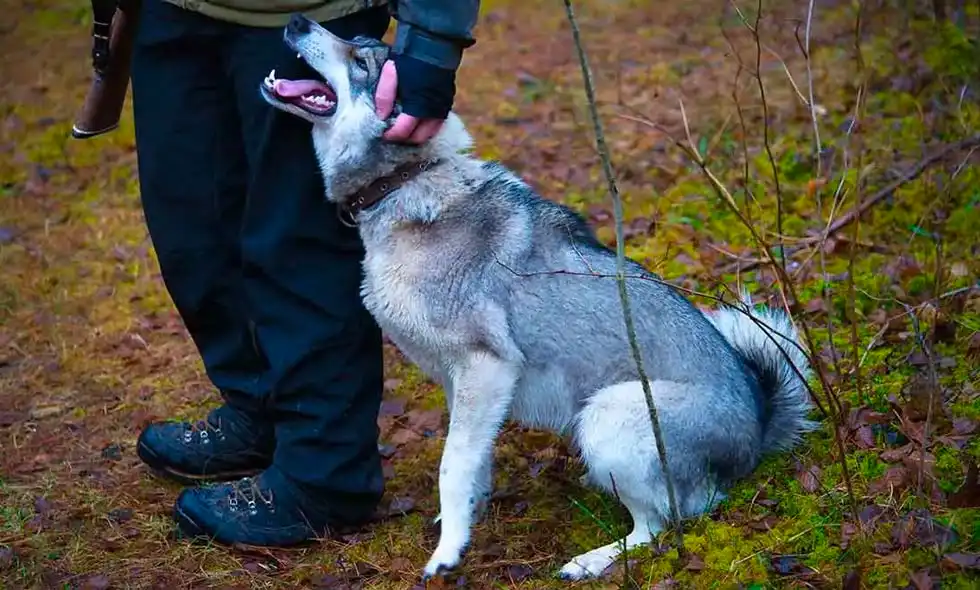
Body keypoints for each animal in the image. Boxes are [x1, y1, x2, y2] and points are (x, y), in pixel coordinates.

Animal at [256, 12, 816, 584]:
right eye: (356, 44)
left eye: (360, 61)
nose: (297, 20)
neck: (405, 183)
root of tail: (757, 429)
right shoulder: (466, 384)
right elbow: (471, 461)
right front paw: (464, 521)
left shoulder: (487, 366)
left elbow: (452, 465)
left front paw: (447, 552)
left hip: (610, 415)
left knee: (663, 525)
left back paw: (594, 559)